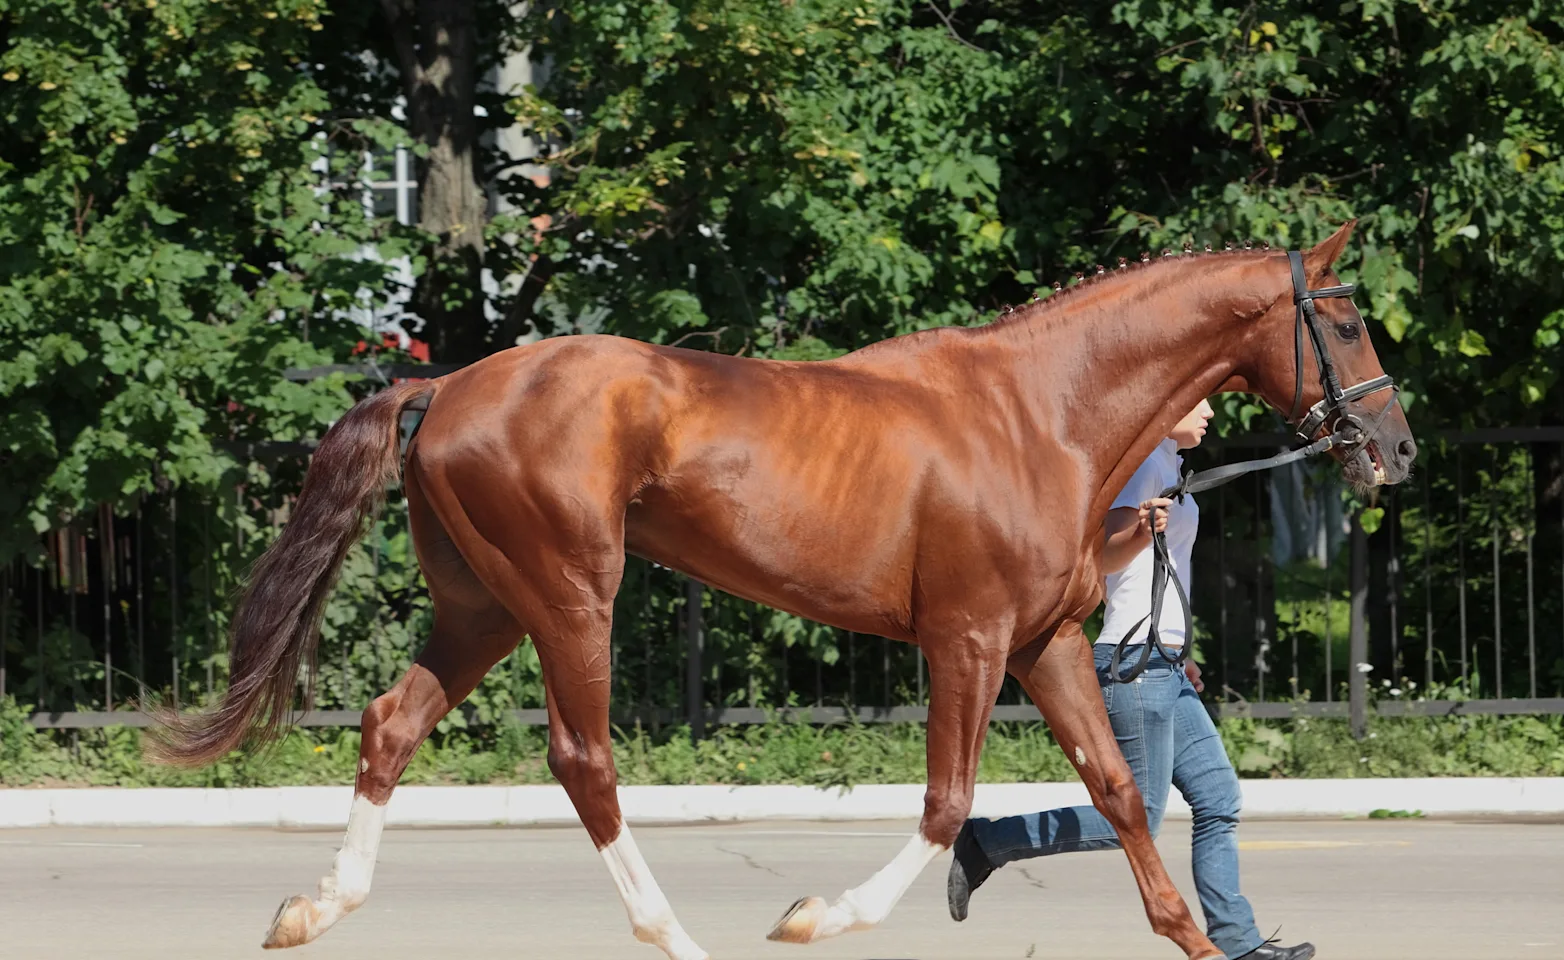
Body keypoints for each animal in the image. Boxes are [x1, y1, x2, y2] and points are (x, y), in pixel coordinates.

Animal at [149, 219, 1415, 960]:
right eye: (1347, 317)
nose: (1394, 450)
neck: (1039, 413)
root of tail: (446, 384)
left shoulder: (1046, 641)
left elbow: (1116, 793)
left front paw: (1194, 938)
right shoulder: (965, 640)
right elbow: (946, 802)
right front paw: (815, 914)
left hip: (482, 606)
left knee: (391, 721)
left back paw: (312, 908)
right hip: (567, 595)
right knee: (583, 758)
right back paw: (671, 935)